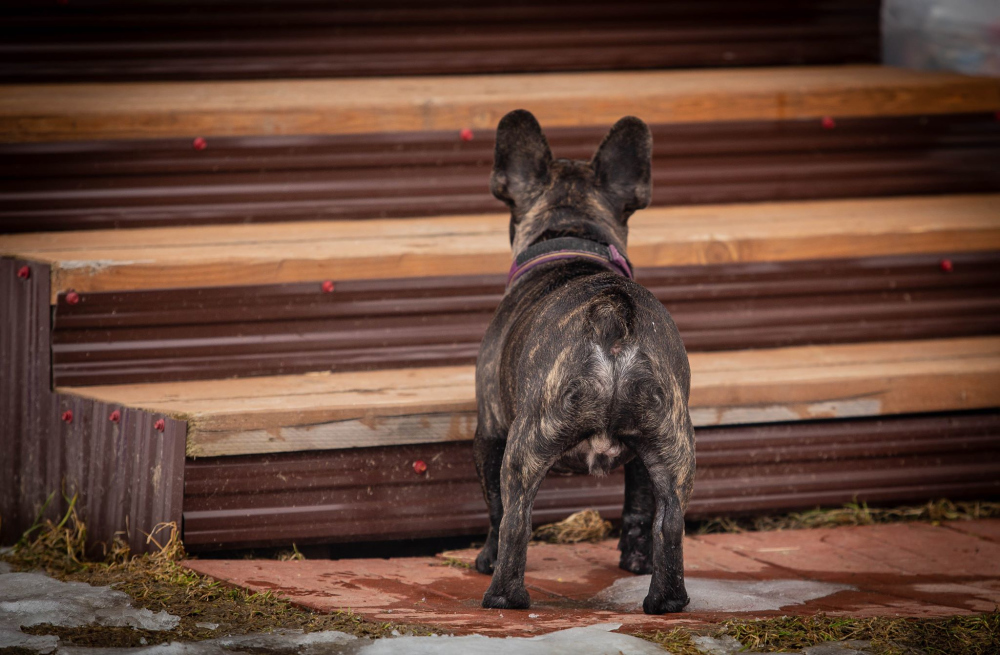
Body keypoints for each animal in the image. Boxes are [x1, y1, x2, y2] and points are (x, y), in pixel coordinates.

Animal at [473, 109, 695, 615]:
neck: (574, 239)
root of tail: (613, 313)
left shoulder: (489, 431)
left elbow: (493, 507)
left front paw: (485, 557)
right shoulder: (642, 459)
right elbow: (638, 506)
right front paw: (635, 561)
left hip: (524, 444)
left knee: (515, 517)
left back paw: (503, 595)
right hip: (673, 446)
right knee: (669, 523)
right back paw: (665, 600)